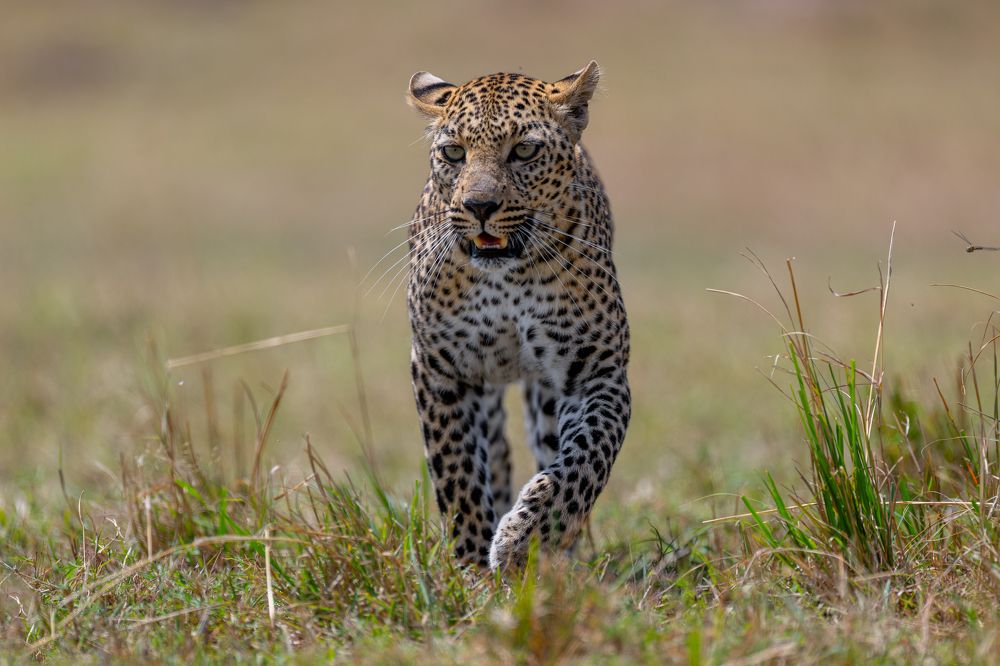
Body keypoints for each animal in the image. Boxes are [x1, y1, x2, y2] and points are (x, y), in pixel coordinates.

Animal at [404, 61, 630, 570]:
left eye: (524, 150)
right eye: (454, 153)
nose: (480, 207)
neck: (506, 278)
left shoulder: (597, 372)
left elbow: (585, 460)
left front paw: (525, 539)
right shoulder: (440, 369)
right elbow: (459, 473)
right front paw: (470, 565)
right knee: (496, 453)